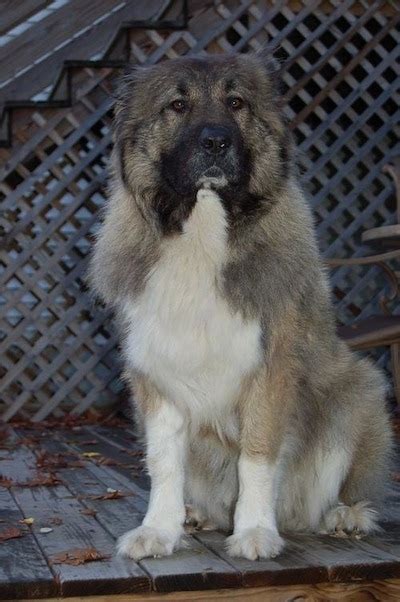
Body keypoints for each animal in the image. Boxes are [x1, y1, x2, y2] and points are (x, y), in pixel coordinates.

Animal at [89, 50, 392, 556]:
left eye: (236, 103)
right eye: (177, 105)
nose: (216, 142)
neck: (204, 228)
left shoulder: (271, 370)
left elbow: (257, 456)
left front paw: (253, 531)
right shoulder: (155, 372)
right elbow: (164, 462)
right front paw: (160, 529)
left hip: (356, 390)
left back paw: (343, 515)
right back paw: (196, 516)